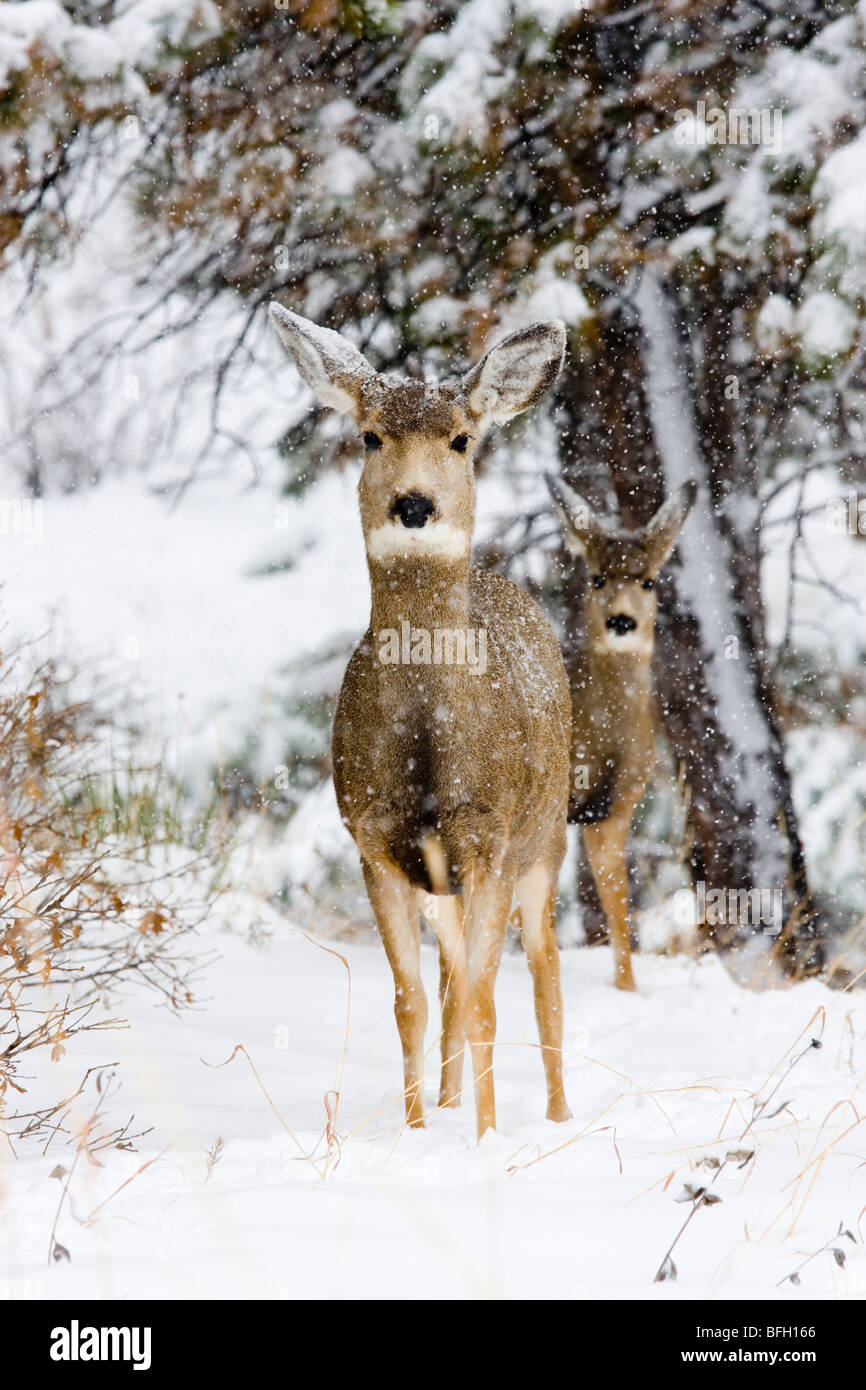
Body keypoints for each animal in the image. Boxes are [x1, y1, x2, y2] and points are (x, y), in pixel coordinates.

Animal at [270, 304, 573, 1139]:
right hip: (446, 880)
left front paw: (488, 1140)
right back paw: (447, 1101)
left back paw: (559, 1116)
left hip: (547, 839)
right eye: (372, 436)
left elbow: (488, 1002)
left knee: (544, 975)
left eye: (461, 439)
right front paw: (418, 1132)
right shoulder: (375, 841)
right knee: (446, 983)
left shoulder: (490, 835)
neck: (428, 748)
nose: (413, 504)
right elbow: (412, 1002)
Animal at [546, 476, 696, 993]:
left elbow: (617, 897)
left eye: (648, 580)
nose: (622, 621)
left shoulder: (616, 804)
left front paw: (627, 988)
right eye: (596, 578)